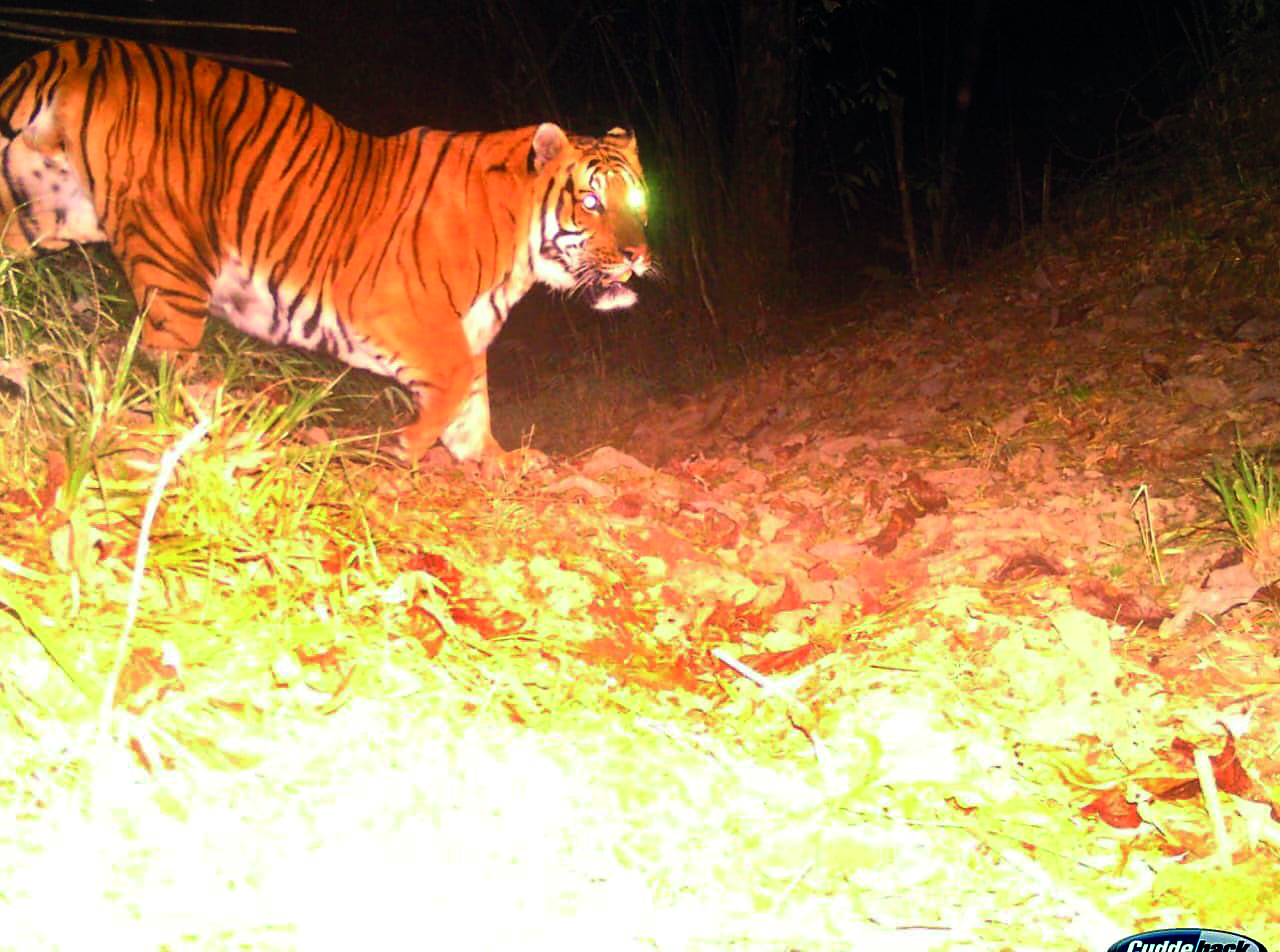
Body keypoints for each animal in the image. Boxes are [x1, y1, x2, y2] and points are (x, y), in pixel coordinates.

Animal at [0, 37, 652, 463]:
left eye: (639, 200)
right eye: (591, 201)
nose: (637, 255)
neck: (517, 257)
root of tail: (73, 51)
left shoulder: (465, 328)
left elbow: (473, 404)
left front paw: (495, 462)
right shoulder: (395, 312)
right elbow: (456, 381)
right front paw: (408, 445)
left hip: (37, 212)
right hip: (174, 257)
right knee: (165, 364)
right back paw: (200, 423)